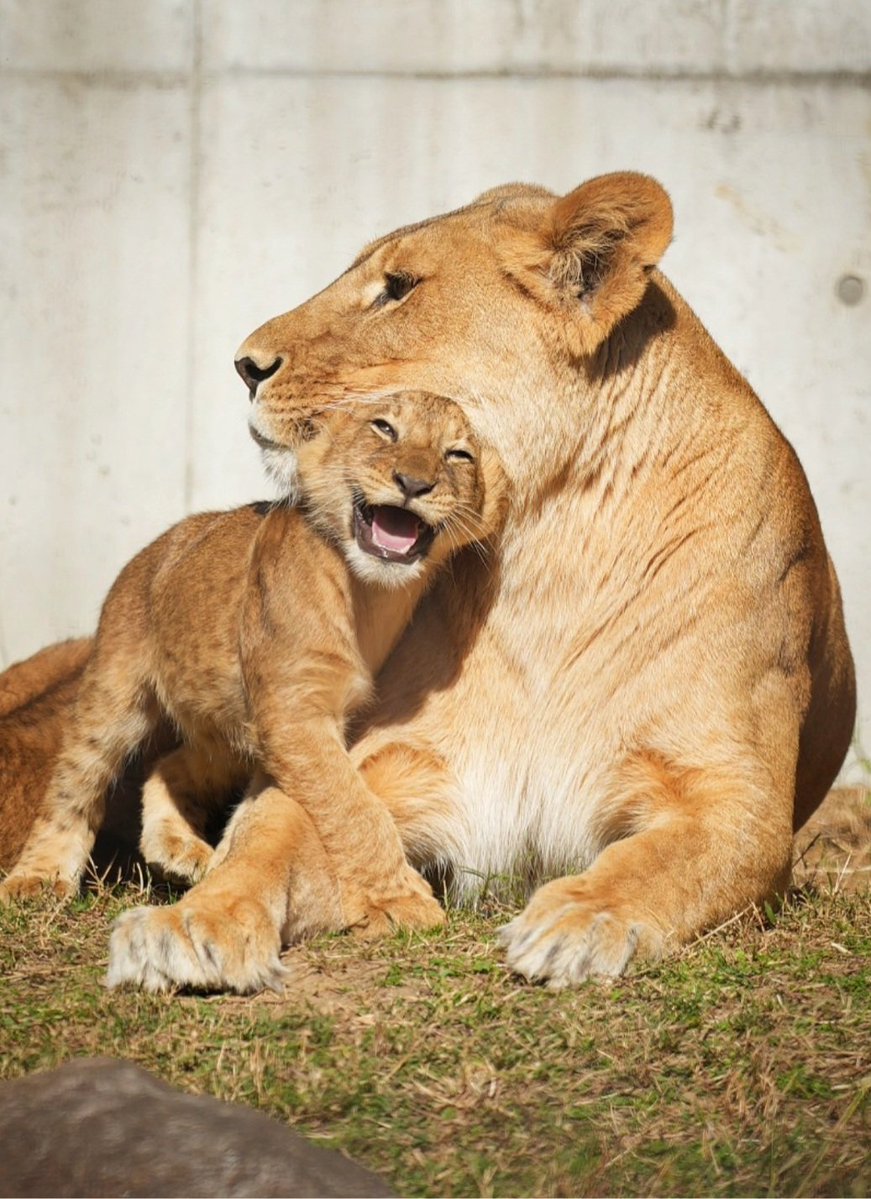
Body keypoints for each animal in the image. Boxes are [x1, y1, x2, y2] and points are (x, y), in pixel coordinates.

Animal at [1, 393, 505, 971]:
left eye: (458, 455)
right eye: (384, 428)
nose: (414, 483)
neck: (375, 594)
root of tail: (159, 544)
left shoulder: (287, 724)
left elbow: (290, 808)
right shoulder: (294, 713)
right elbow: (354, 808)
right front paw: (401, 900)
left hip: (228, 731)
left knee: (167, 765)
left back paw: (184, 851)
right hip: (115, 687)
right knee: (75, 783)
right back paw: (38, 880)